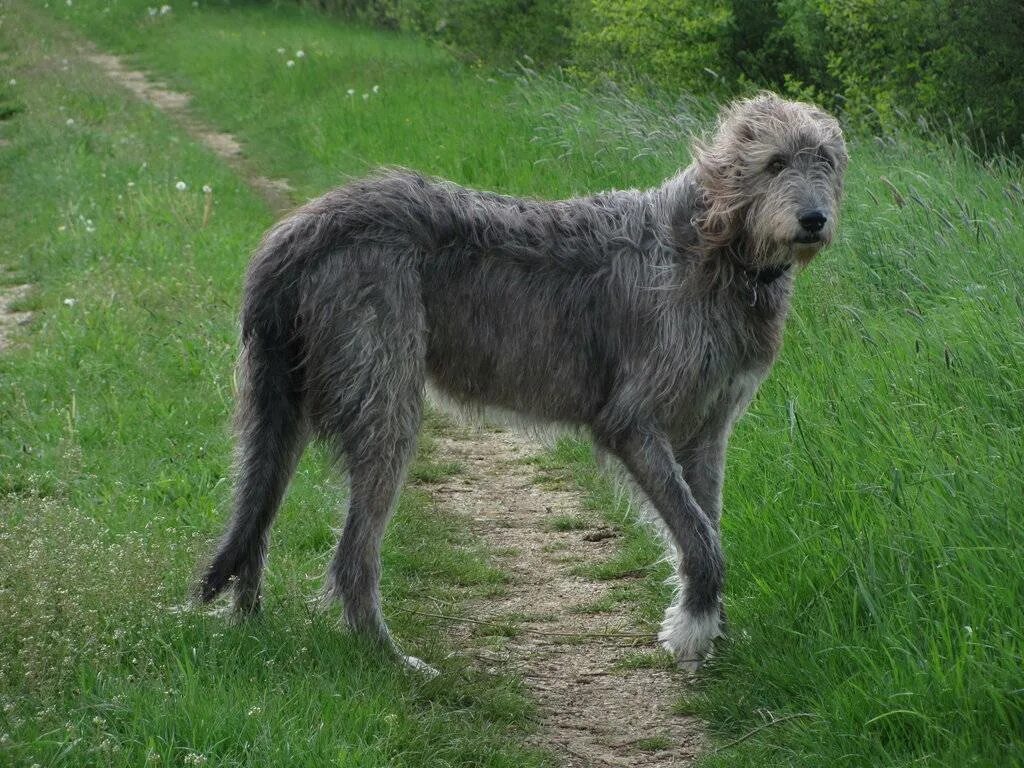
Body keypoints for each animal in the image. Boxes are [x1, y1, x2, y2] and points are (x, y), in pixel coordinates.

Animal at [197, 93, 847, 671]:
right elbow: (700, 539)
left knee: (257, 516)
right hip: (381, 395)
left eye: (827, 161)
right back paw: (388, 657)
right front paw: (692, 631)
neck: (711, 244)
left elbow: (706, 525)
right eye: (775, 163)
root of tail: (303, 229)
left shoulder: (707, 430)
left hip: (279, 401)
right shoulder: (633, 423)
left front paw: (715, 632)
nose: (814, 220)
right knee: (352, 556)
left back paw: (250, 627)